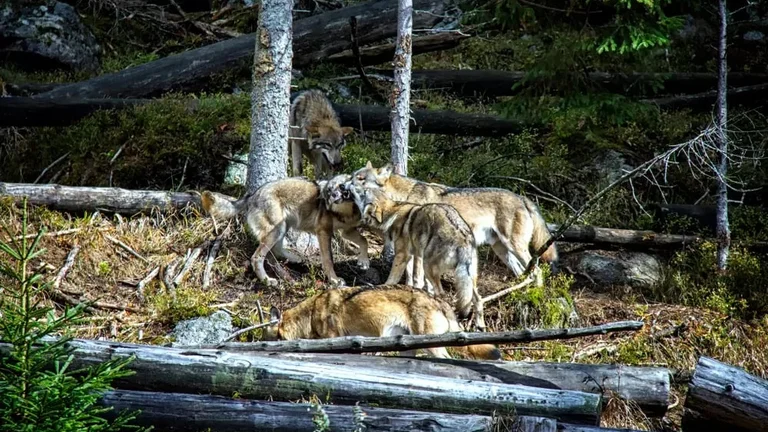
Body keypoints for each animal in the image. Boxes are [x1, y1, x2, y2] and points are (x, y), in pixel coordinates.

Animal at [200, 174, 368, 287]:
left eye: (342, 187)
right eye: (330, 190)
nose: (331, 196)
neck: (345, 212)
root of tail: (252, 194)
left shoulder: (347, 230)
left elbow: (364, 240)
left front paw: (364, 262)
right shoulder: (324, 232)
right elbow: (329, 260)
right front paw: (334, 280)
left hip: (283, 227)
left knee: (276, 252)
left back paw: (293, 260)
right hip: (277, 230)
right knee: (259, 257)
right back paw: (268, 280)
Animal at [348, 185, 486, 330]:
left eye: (363, 191)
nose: (347, 185)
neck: (391, 216)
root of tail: (463, 239)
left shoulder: (402, 255)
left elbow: (392, 279)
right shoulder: (413, 255)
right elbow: (412, 277)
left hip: (429, 267)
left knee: (441, 293)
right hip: (468, 277)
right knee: (478, 298)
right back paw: (480, 325)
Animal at [350, 162, 558, 287]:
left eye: (360, 179)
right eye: (352, 177)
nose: (344, 185)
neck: (402, 199)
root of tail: (522, 197)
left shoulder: (418, 248)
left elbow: (417, 277)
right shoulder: (410, 248)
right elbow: (409, 275)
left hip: (514, 247)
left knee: (537, 271)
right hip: (503, 251)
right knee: (523, 272)